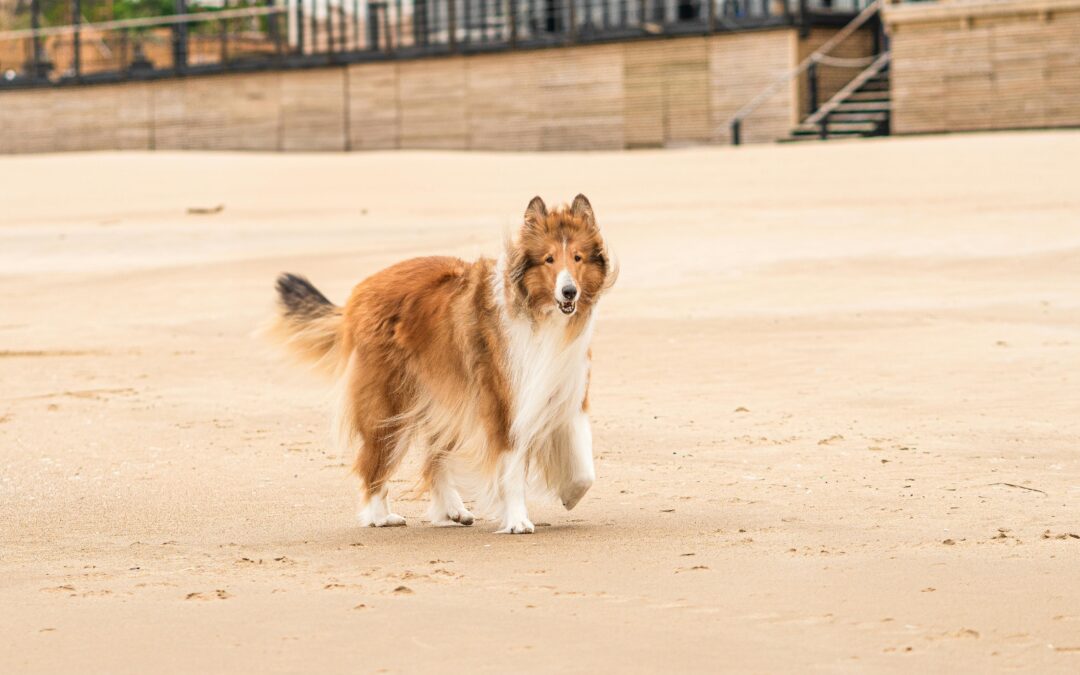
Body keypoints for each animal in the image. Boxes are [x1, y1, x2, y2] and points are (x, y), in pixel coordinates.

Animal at [268, 193, 617, 531]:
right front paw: (518, 520)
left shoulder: (563, 391)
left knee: (434, 457)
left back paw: (451, 510)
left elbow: (585, 470)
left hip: (445, 395)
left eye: (577, 257)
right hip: (389, 403)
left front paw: (569, 493)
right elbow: (512, 470)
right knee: (374, 460)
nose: (569, 292)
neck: (538, 315)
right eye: (549, 259)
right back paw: (380, 515)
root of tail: (359, 292)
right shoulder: (504, 404)